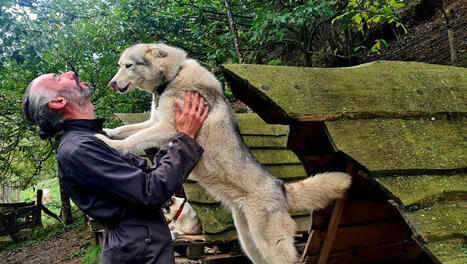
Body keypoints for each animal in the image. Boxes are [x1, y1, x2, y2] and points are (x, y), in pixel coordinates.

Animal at [99, 43, 354, 264]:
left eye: (128, 65)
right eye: (120, 65)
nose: (111, 83)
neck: (173, 76)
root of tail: (280, 186)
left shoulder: (166, 128)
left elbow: (133, 139)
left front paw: (109, 144)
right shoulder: (154, 123)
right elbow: (126, 130)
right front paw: (107, 132)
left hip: (269, 244)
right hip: (249, 243)